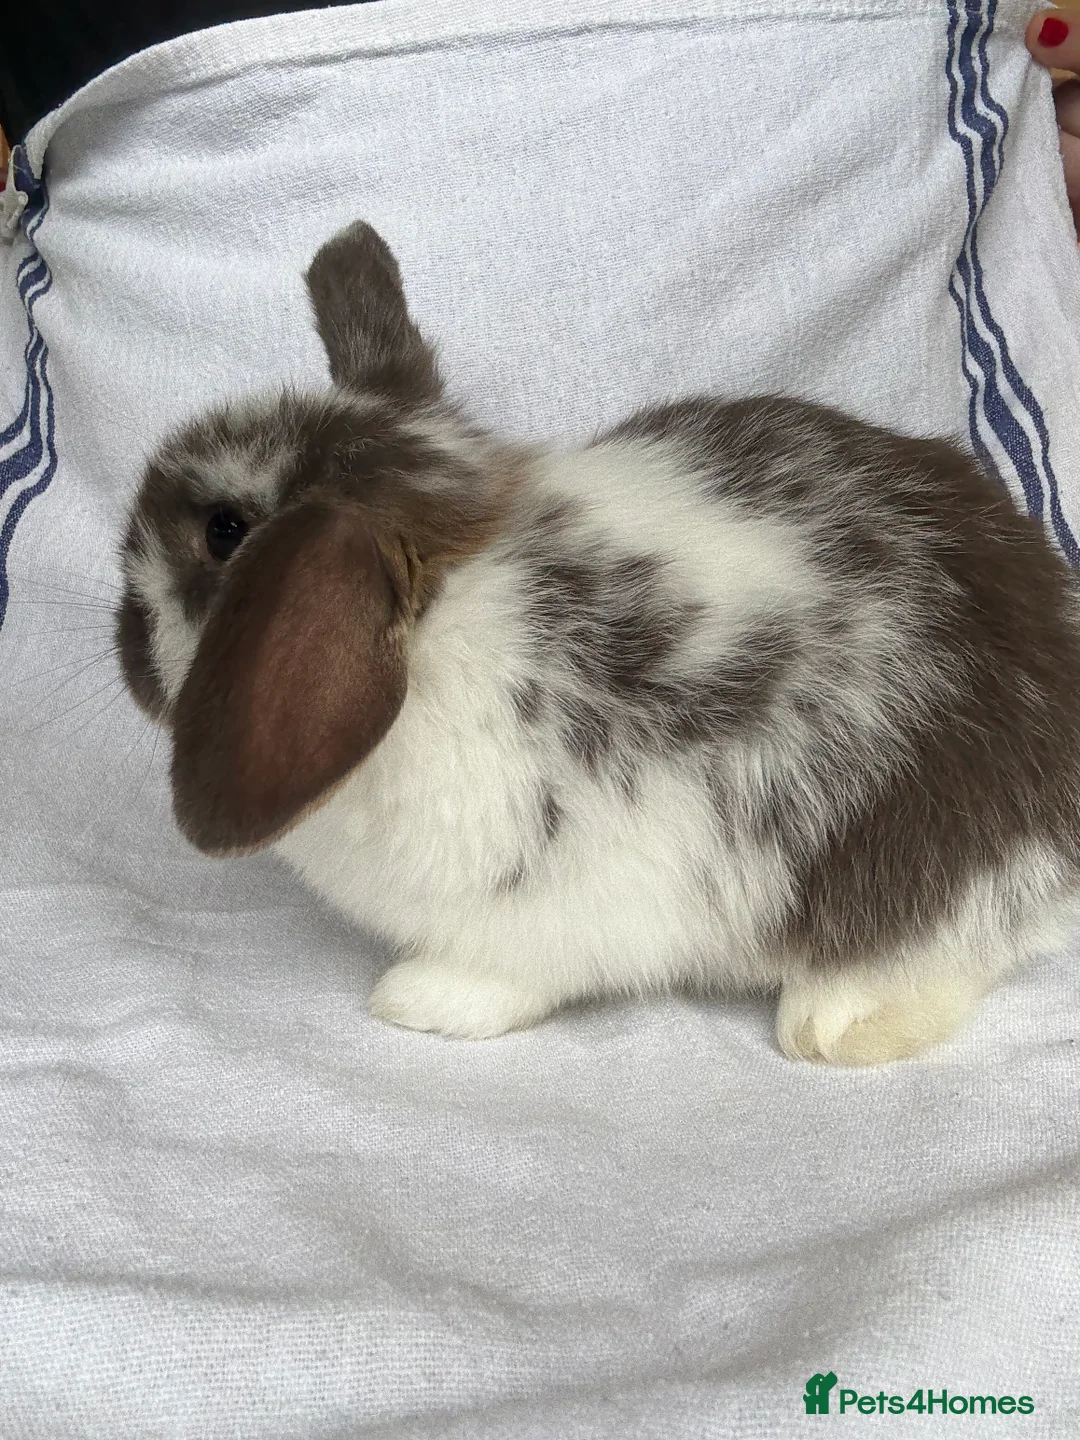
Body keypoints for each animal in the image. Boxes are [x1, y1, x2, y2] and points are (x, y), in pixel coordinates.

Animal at [114, 219, 1080, 1066]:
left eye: (225, 531)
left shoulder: (558, 905)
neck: (440, 626)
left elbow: (510, 972)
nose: (126, 652)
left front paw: (420, 1000)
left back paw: (834, 1023)